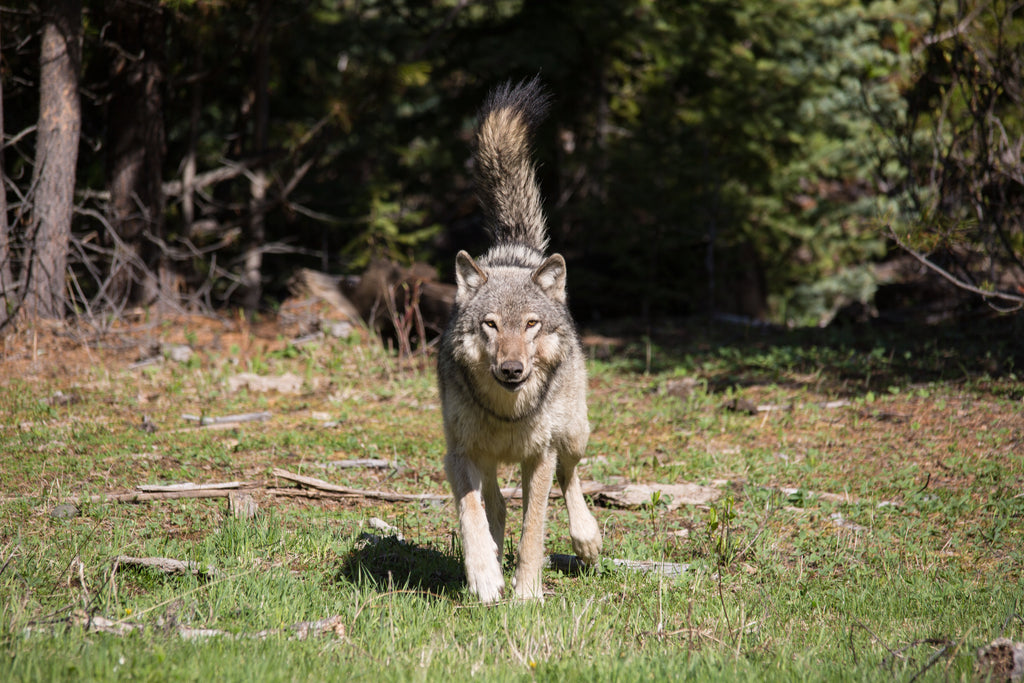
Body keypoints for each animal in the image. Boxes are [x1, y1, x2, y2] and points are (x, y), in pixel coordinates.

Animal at [438, 77, 602, 603]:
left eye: (530, 325)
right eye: (490, 325)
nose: (512, 369)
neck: (507, 414)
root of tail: (516, 250)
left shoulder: (539, 457)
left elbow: (534, 529)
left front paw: (527, 593)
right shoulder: (460, 454)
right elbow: (472, 515)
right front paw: (485, 576)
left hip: (573, 433)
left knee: (571, 478)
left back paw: (587, 539)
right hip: (490, 461)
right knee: (496, 507)